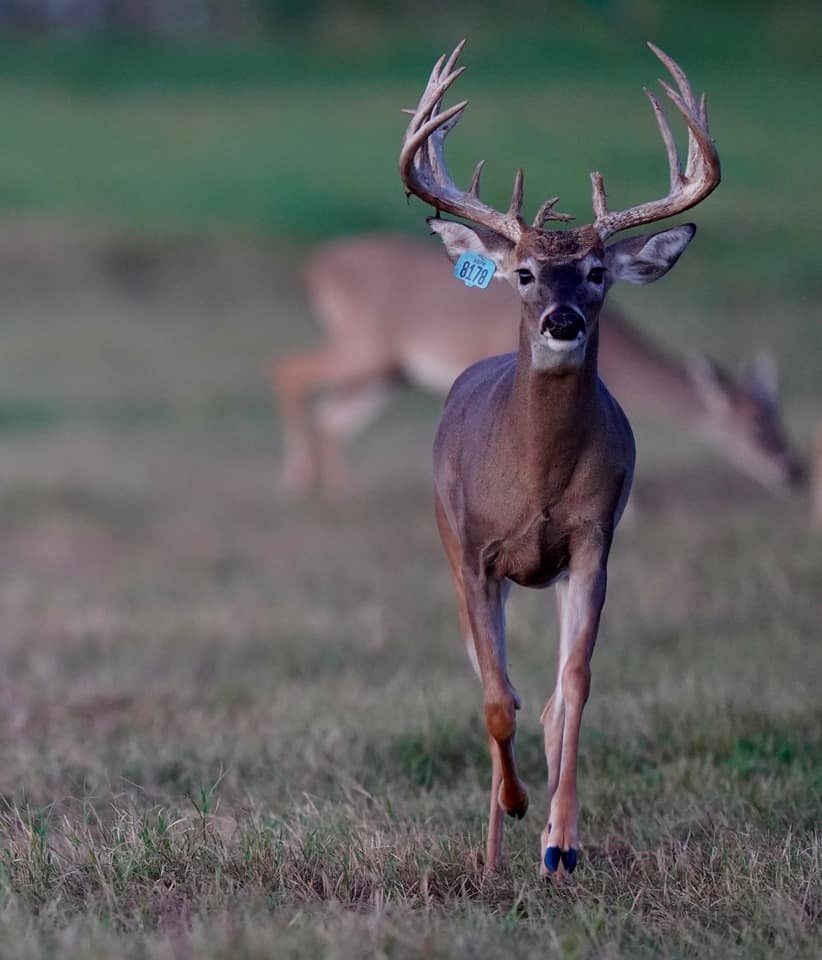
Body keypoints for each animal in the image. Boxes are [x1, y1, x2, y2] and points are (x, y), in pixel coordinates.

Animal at [272, 233, 802, 496]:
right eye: (755, 425)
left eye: (781, 418)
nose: (794, 471)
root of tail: (311, 269)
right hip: (365, 345)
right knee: (289, 370)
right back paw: (298, 478)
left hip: (387, 372)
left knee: (332, 416)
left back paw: (337, 489)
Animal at [396, 39, 722, 877]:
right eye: (524, 272)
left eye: (598, 272)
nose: (563, 319)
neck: (533, 480)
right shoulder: (474, 552)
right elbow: (493, 698)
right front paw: (510, 810)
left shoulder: (591, 542)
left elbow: (570, 688)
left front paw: (562, 840)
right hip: (450, 548)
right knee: (493, 683)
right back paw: (491, 845)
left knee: (540, 696)